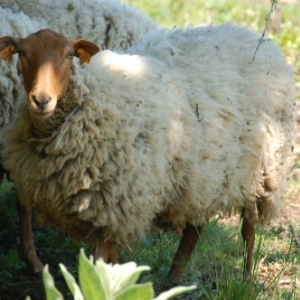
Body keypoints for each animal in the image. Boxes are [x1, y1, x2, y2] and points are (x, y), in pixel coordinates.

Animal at [0, 25, 296, 282]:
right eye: (22, 53)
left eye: (68, 55)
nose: (41, 100)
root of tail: (257, 38)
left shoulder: (114, 207)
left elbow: (99, 267)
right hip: (203, 178)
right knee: (195, 229)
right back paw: (172, 283)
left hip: (258, 171)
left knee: (249, 228)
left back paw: (246, 282)